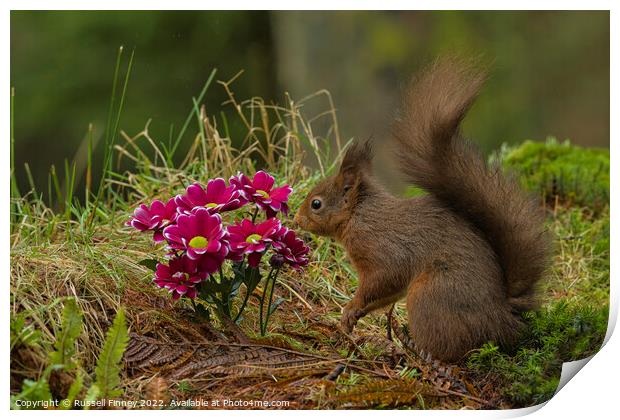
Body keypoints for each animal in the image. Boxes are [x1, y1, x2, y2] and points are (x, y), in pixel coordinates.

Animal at [296, 57, 552, 362]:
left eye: (316, 204)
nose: (296, 219)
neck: (360, 214)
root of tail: (502, 318)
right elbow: (387, 293)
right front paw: (353, 316)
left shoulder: (381, 250)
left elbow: (383, 279)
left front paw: (350, 307)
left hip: (428, 295)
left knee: (449, 348)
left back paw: (414, 351)